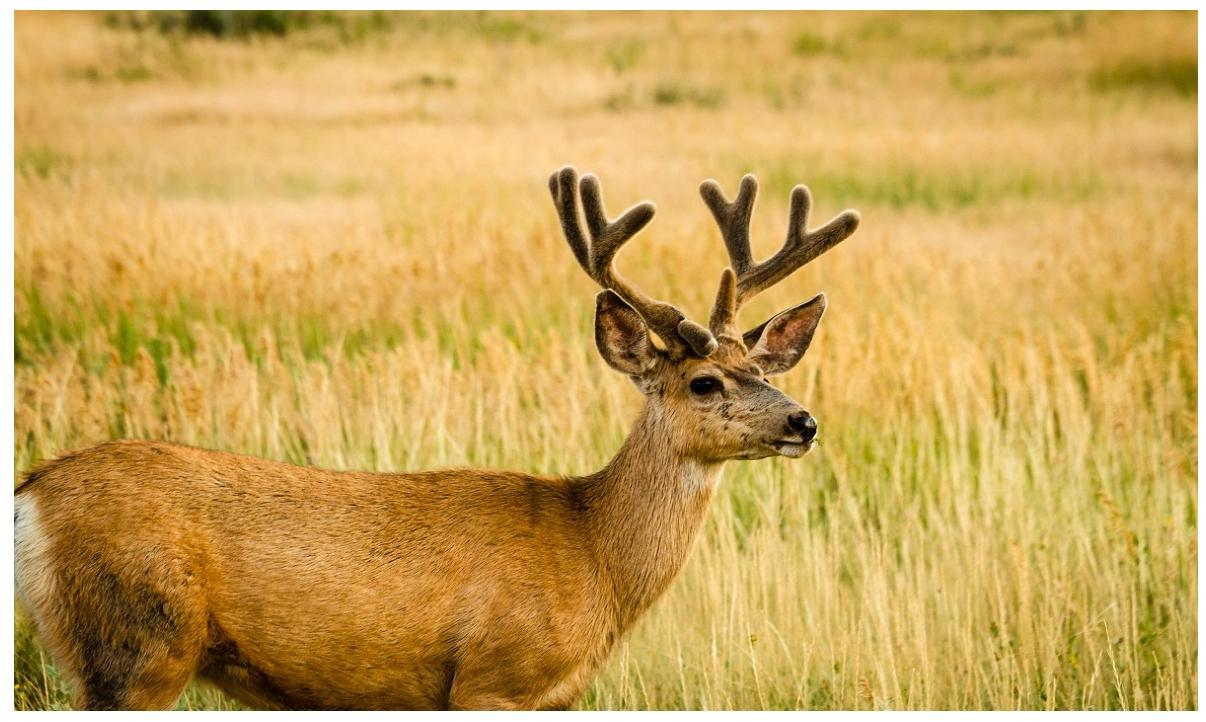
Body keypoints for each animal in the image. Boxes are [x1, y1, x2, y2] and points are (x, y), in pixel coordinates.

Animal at [14, 166, 860, 710]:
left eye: (760, 365)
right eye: (704, 382)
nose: (803, 421)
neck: (593, 553)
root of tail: (31, 496)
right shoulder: (493, 678)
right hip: (137, 643)